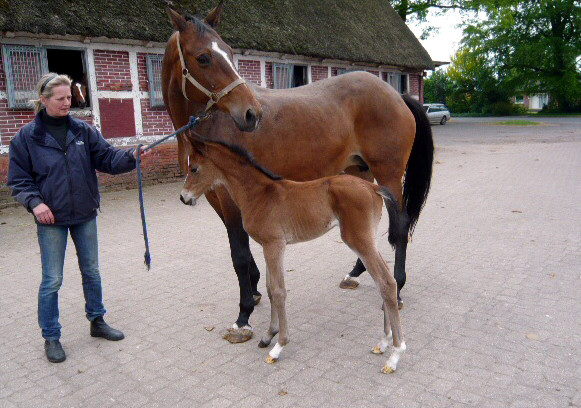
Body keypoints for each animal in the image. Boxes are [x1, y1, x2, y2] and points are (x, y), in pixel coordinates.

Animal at [184, 136, 406, 372]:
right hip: (367, 240)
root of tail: (373, 187)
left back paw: (395, 354)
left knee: (386, 282)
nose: (183, 197)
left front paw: (279, 346)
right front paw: (268, 336)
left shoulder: (275, 244)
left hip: (359, 240)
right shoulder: (267, 246)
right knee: (384, 281)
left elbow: (279, 291)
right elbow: (270, 289)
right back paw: (383, 342)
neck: (259, 194)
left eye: (194, 168)